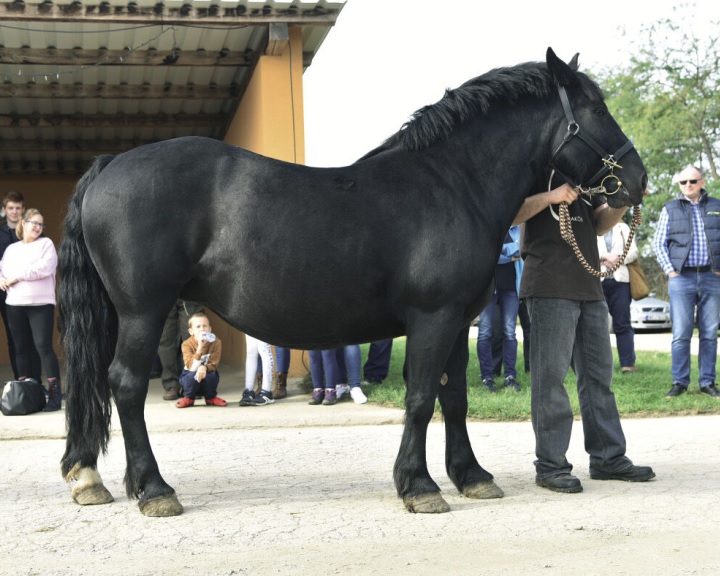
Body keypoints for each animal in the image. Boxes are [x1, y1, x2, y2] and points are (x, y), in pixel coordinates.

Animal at [59, 50, 648, 516]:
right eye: (597, 108)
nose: (638, 180)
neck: (453, 184)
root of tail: (109, 165)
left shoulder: (458, 321)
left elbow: (453, 396)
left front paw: (472, 476)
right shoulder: (432, 318)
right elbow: (420, 398)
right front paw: (419, 486)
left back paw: (91, 478)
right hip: (143, 310)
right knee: (125, 385)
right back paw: (155, 489)